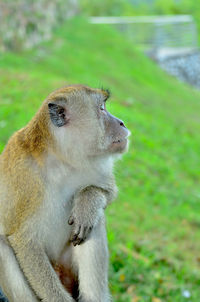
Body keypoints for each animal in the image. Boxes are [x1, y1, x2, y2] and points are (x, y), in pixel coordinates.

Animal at [0, 85, 130, 302]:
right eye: (101, 108)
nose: (121, 122)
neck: (61, 160)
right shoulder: (25, 179)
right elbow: (24, 240)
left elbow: (108, 192)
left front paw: (87, 202)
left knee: (96, 220)